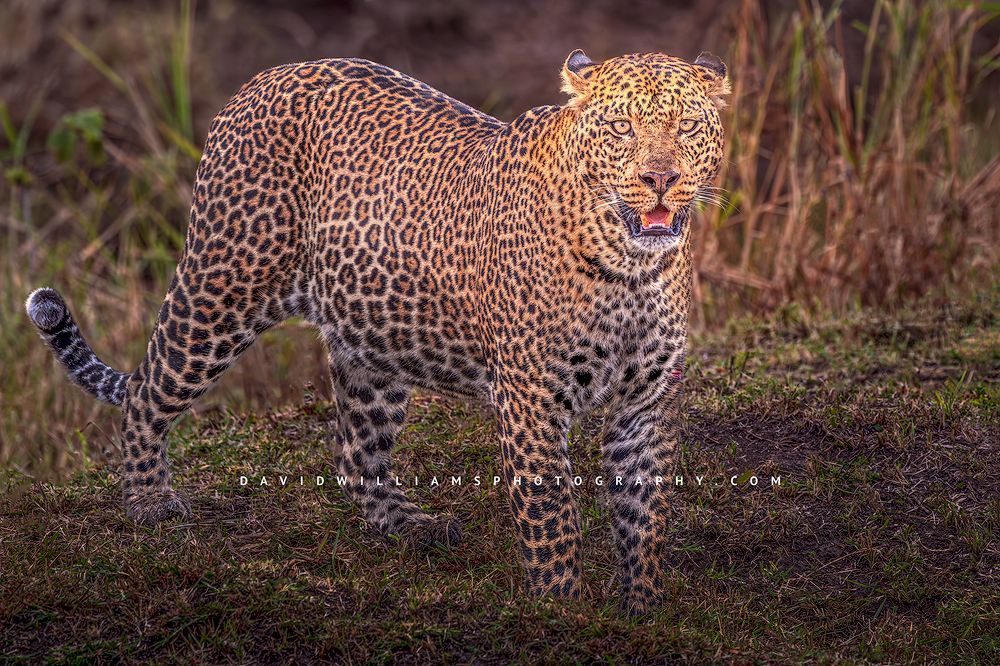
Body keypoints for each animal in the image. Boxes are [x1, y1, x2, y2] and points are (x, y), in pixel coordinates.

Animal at [26, 49, 729, 614]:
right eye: (621, 128)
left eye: (688, 127)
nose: (660, 179)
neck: (631, 267)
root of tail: (261, 79)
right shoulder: (532, 398)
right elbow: (552, 517)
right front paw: (563, 612)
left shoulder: (648, 402)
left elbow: (645, 516)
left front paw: (643, 609)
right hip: (223, 286)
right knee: (148, 391)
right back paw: (148, 501)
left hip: (371, 346)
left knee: (354, 454)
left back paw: (405, 523)